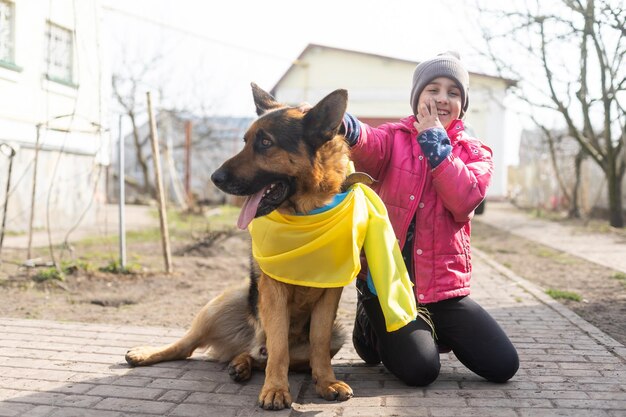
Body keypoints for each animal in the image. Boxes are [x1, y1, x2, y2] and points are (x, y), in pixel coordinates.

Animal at [124, 83, 354, 408]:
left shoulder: (329, 296)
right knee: (188, 345)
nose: (214, 178)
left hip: (337, 334)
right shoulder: (273, 291)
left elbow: (317, 344)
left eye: (266, 143)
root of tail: (250, 342)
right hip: (221, 304)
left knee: (260, 356)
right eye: (245, 142)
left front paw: (326, 382)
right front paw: (275, 389)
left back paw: (242, 364)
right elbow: (279, 346)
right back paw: (147, 353)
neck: (305, 217)